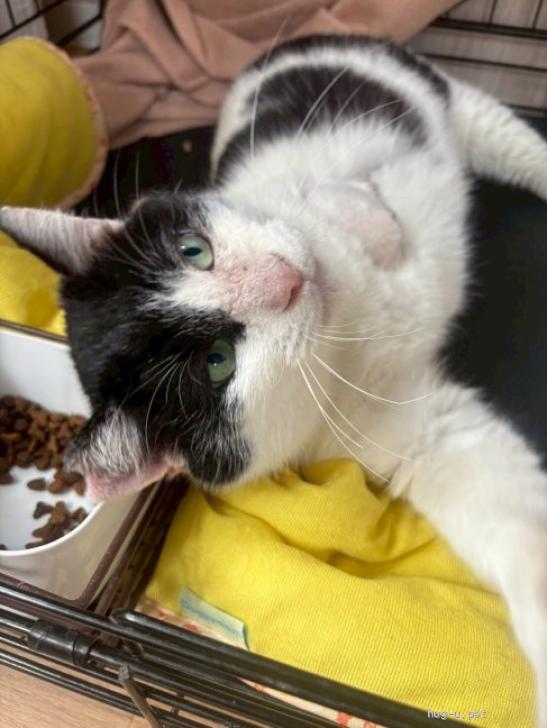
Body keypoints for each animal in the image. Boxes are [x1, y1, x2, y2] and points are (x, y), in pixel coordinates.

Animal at [2, 34, 547, 725]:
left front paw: (369, 226)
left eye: (195, 250)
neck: (348, 321)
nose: (285, 280)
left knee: (500, 134)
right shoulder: (397, 425)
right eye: (217, 362)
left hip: (430, 92)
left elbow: (326, 204)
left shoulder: (287, 196)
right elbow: (491, 495)